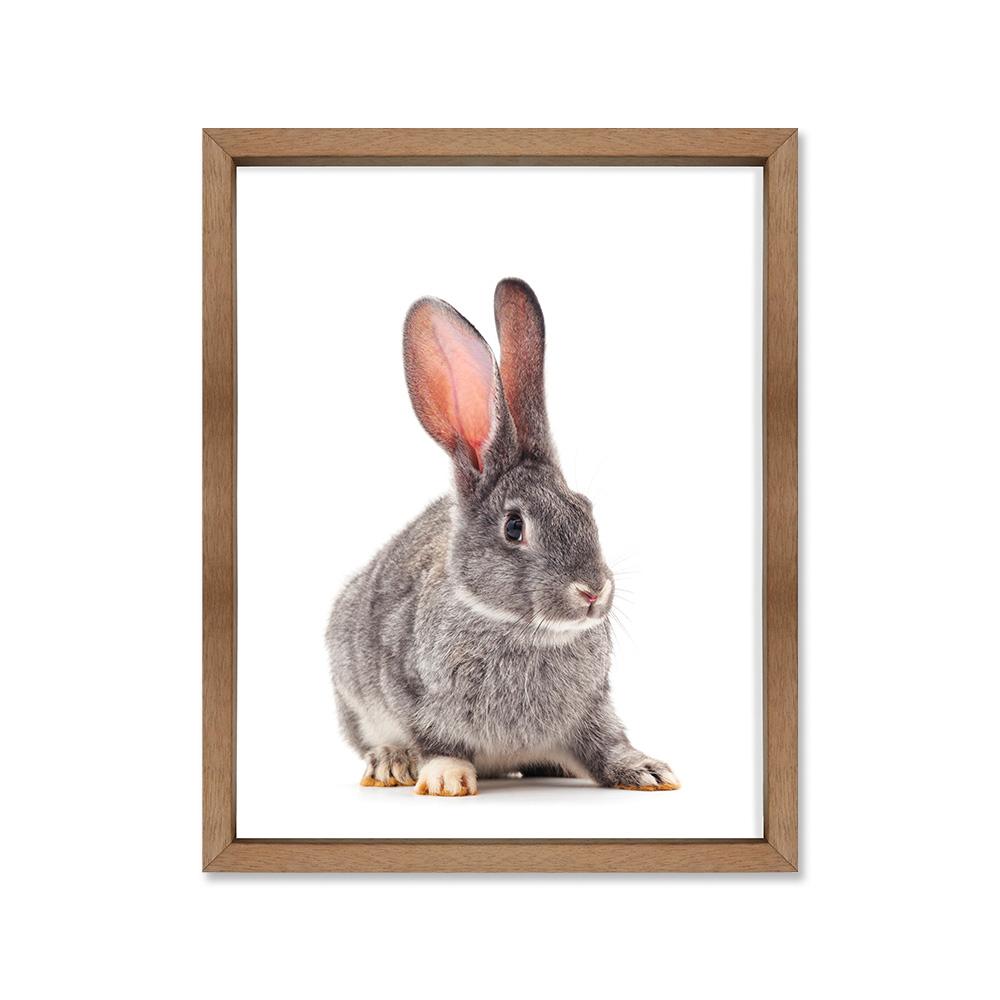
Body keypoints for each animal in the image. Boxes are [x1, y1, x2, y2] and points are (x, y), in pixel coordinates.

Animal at [326, 278, 679, 796]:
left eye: (586, 509)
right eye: (515, 527)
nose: (593, 591)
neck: (523, 630)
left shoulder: (592, 709)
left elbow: (607, 743)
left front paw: (647, 770)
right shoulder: (414, 694)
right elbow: (437, 741)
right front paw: (446, 776)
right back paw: (392, 763)